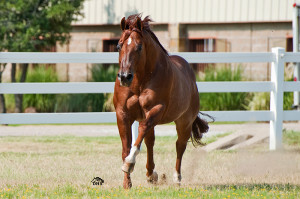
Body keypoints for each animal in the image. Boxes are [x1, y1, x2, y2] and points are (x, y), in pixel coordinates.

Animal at [113, 14, 210, 190]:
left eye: (139, 47)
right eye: (118, 45)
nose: (124, 77)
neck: (140, 81)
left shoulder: (156, 110)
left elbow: (139, 136)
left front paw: (129, 163)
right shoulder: (122, 114)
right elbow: (126, 147)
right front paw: (126, 182)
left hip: (184, 122)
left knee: (180, 145)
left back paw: (176, 178)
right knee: (150, 141)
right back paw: (151, 175)